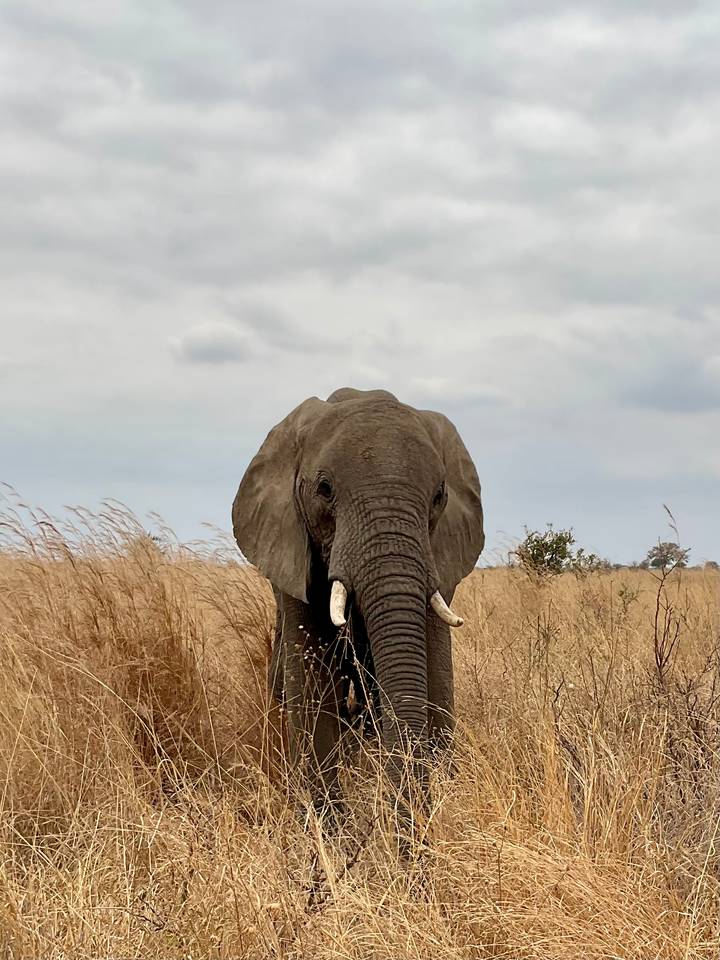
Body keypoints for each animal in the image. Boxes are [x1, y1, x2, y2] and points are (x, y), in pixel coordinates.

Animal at [232, 387, 484, 826]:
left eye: (439, 496)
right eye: (324, 489)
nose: (412, 834)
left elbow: (434, 668)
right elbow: (312, 681)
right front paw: (329, 827)